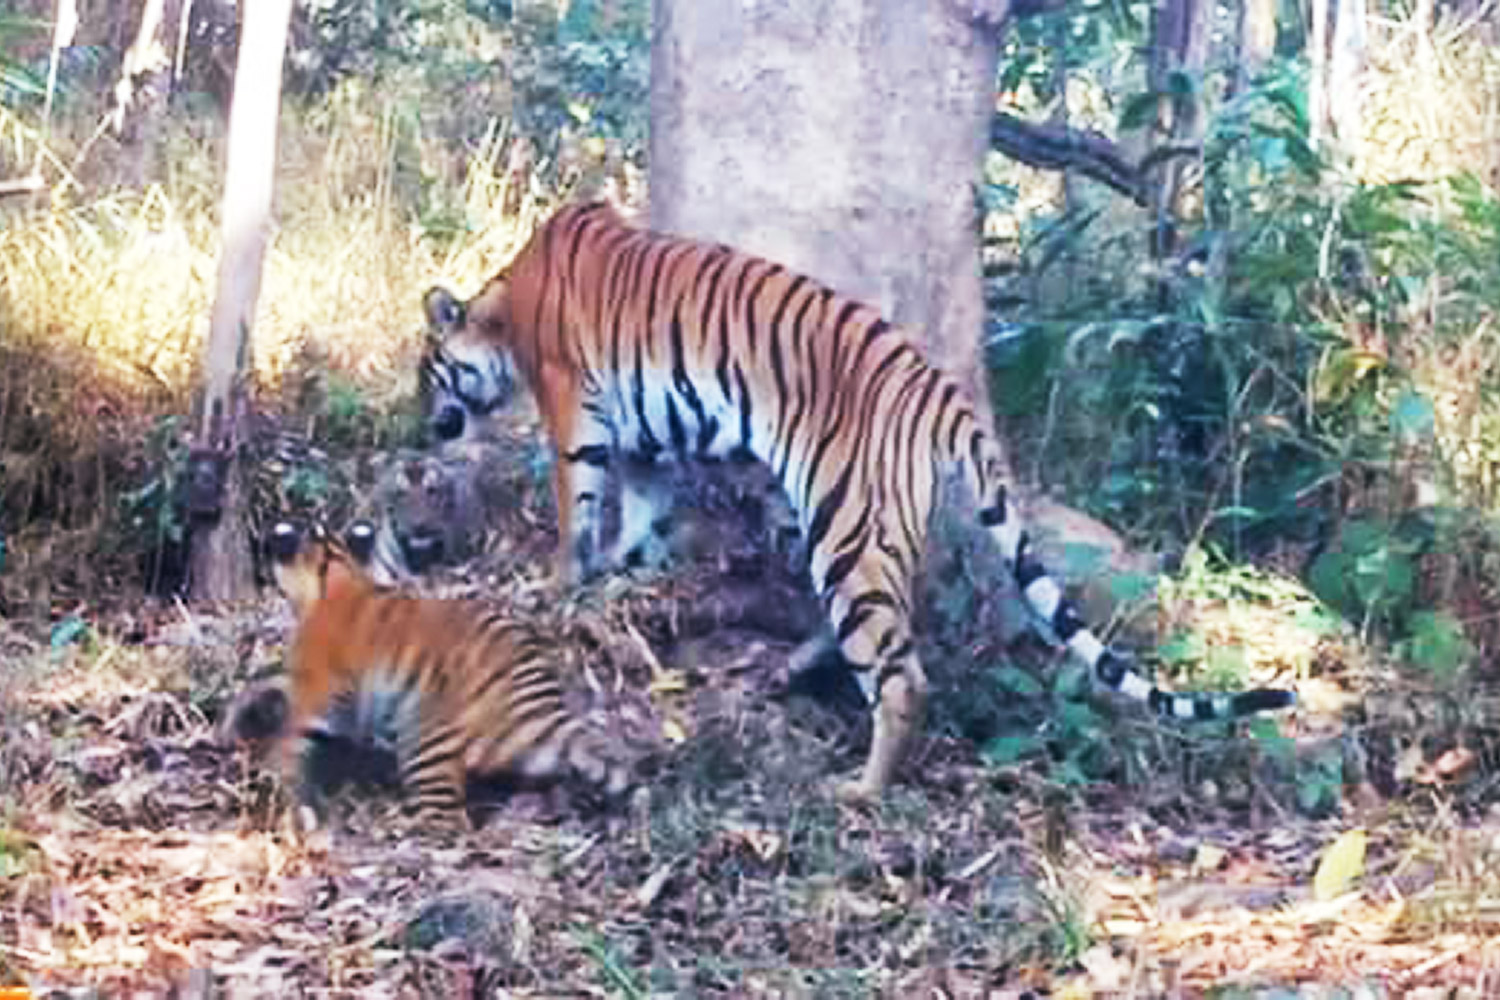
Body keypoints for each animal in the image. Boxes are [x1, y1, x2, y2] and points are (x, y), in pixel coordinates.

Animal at [417, 203, 1296, 803]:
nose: (422, 424)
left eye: (428, 373)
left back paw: (862, 788)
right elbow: (638, 516)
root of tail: (943, 390)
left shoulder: (575, 407)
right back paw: (790, 670)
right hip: (830, 523)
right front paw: (627, 578)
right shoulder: (642, 441)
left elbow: (577, 507)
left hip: (848, 525)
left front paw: (560, 584)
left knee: (901, 674)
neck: (506, 305)